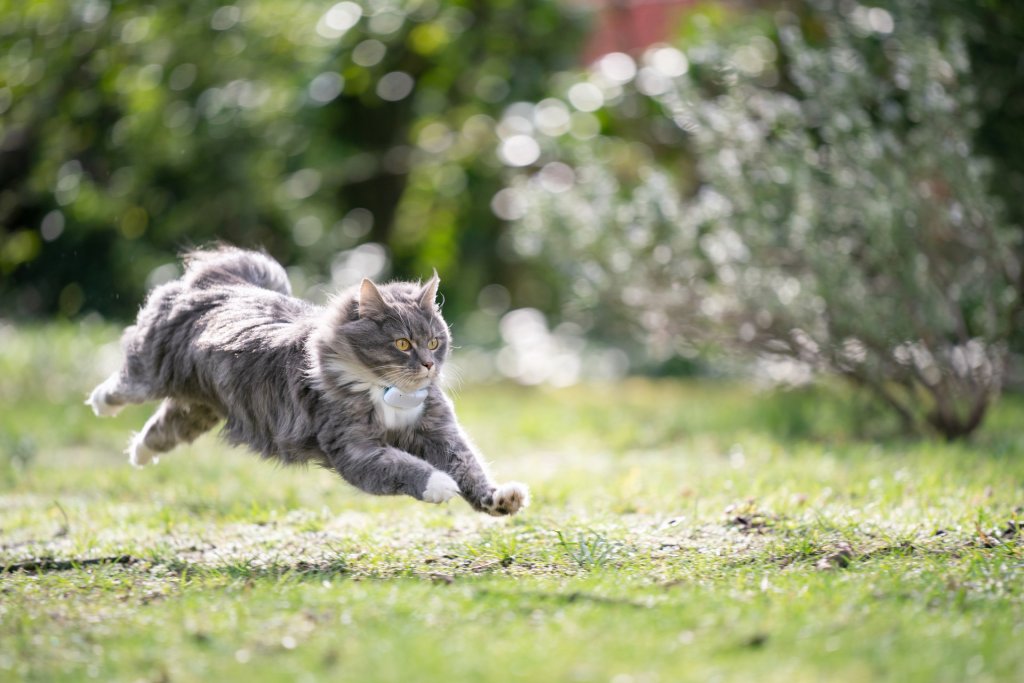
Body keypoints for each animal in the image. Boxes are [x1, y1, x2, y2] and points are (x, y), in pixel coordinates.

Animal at [86, 248, 528, 516]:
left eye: (435, 341)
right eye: (402, 343)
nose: (428, 365)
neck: (387, 394)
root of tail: (223, 285)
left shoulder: (439, 433)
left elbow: (470, 468)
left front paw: (499, 499)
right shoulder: (357, 450)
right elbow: (408, 468)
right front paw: (440, 486)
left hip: (199, 410)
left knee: (160, 430)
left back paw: (139, 455)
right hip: (150, 371)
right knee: (123, 383)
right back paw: (100, 404)